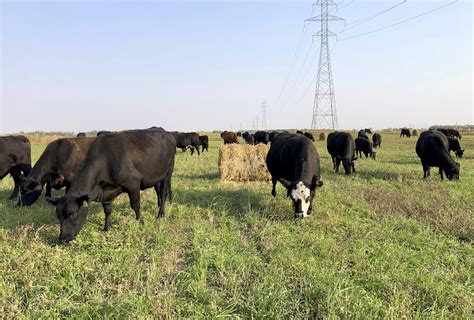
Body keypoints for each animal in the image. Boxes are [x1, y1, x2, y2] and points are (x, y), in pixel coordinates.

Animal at [46, 129, 176, 244]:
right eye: (58, 216)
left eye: (72, 214)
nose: (62, 239)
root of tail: (164, 132)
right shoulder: (106, 192)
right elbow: (107, 210)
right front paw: (106, 228)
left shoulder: (133, 183)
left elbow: (135, 205)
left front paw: (141, 222)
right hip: (156, 177)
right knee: (158, 191)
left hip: (167, 172)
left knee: (163, 192)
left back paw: (161, 213)